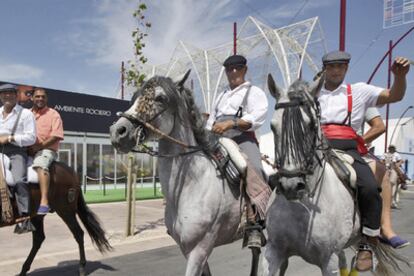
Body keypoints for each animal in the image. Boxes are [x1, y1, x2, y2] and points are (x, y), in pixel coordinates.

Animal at [109, 72, 258, 274]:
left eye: (160, 98)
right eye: (135, 97)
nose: (118, 131)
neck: (191, 186)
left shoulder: (199, 249)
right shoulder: (187, 250)